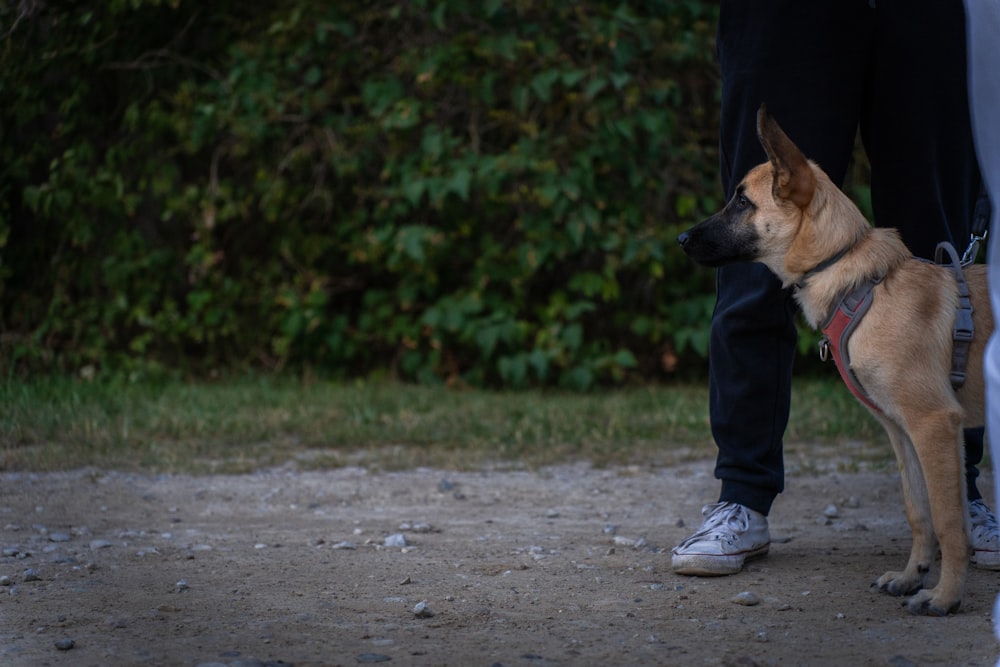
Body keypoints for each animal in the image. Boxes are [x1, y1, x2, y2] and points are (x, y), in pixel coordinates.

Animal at [676, 105, 988, 616]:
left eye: (742, 202)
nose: (682, 238)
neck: (858, 284)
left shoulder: (934, 424)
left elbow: (947, 520)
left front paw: (944, 596)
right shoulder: (902, 432)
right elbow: (918, 510)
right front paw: (911, 576)